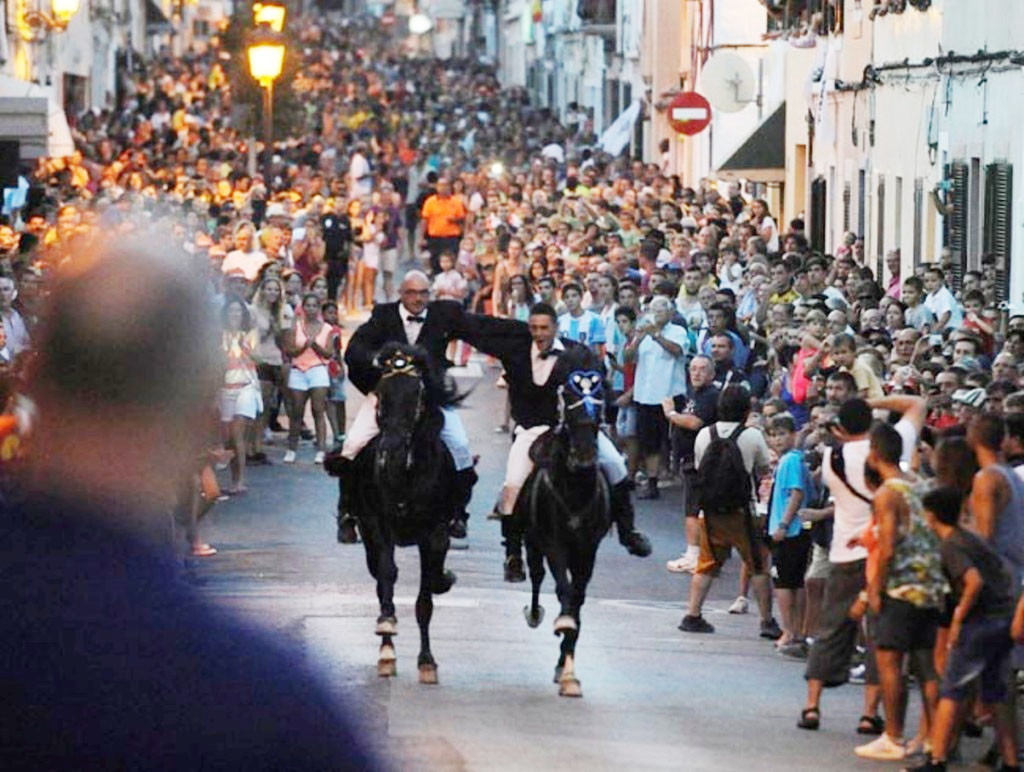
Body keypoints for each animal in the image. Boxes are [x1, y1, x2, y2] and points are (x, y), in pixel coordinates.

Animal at [339, 339, 460, 683]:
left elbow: (426, 596)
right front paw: (387, 630)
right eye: (380, 394)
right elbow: (387, 575)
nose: (390, 452)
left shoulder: (434, 533)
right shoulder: (377, 525)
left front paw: (427, 661)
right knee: (380, 576)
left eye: (417, 395)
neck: (407, 471)